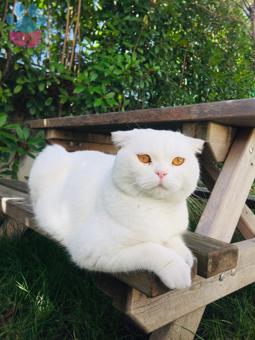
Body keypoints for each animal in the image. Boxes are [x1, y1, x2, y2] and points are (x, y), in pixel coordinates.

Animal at [28, 129, 203, 288]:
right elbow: (150, 249)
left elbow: (174, 240)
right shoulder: (91, 249)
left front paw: (185, 255)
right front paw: (177, 269)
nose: (162, 173)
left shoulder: (172, 232)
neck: (157, 209)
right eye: (144, 158)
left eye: (178, 161)